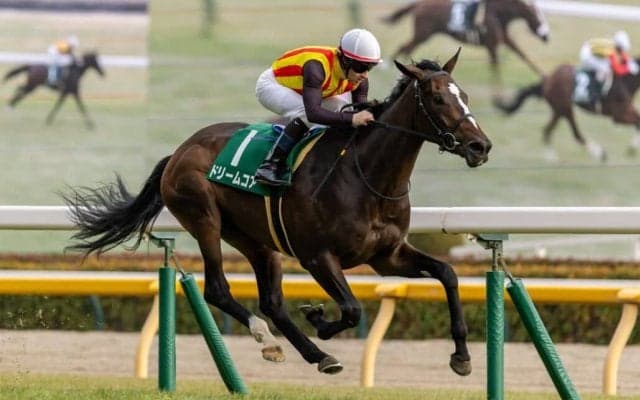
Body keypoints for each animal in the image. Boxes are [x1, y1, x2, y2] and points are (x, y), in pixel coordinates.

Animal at [62, 50, 491, 376]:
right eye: (438, 99)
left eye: (466, 95)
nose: (480, 146)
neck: (367, 175)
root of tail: (179, 151)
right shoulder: (318, 256)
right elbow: (351, 309)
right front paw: (320, 320)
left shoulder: (387, 256)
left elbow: (447, 274)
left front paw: (461, 356)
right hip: (204, 217)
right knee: (218, 289)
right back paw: (269, 338)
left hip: (256, 240)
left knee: (271, 301)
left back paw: (313, 354)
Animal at [383, 0, 550, 79]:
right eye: (533, 13)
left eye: (541, 13)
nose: (546, 35)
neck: (497, 13)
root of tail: (419, 3)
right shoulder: (492, 45)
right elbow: (495, 67)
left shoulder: (505, 40)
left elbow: (525, 56)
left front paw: (544, 76)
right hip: (423, 34)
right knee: (406, 47)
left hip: (423, 35)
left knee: (405, 47)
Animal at [493, 60, 640, 161]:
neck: (625, 80)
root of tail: (548, 79)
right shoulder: (618, 116)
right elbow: (637, 122)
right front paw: (632, 149)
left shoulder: (627, 110)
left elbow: (637, 121)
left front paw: (632, 149)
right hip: (565, 108)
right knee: (576, 134)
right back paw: (600, 154)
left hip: (558, 111)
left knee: (547, 130)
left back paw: (551, 157)